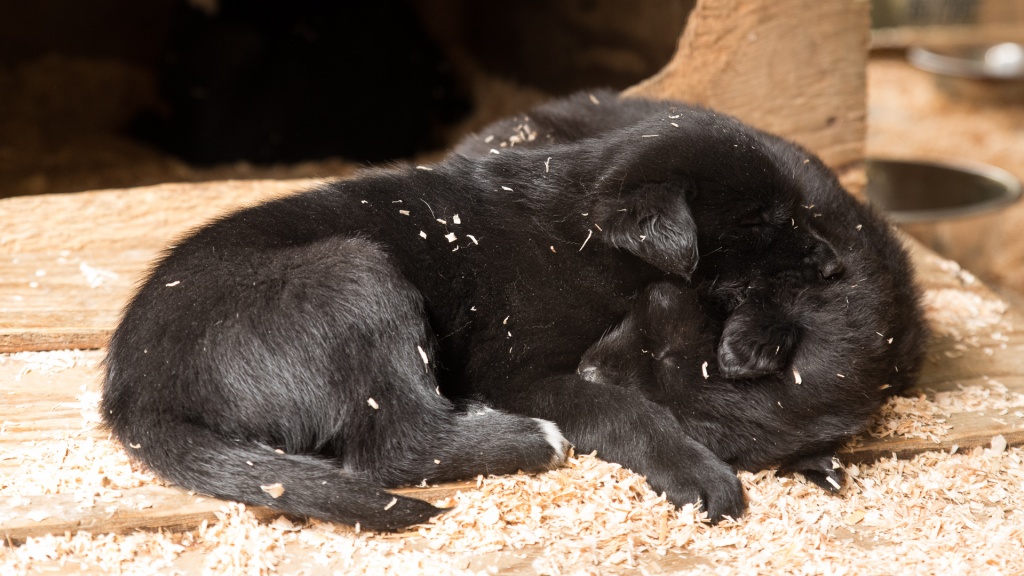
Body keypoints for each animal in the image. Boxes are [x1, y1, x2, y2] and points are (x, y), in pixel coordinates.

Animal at [101, 99, 847, 528]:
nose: (837, 264)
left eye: (794, 211)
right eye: (761, 221)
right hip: (354, 275)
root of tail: (135, 390)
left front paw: (761, 339)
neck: (584, 235)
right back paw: (528, 438)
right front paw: (698, 473)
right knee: (396, 446)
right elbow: (625, 408)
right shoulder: (522, 369)